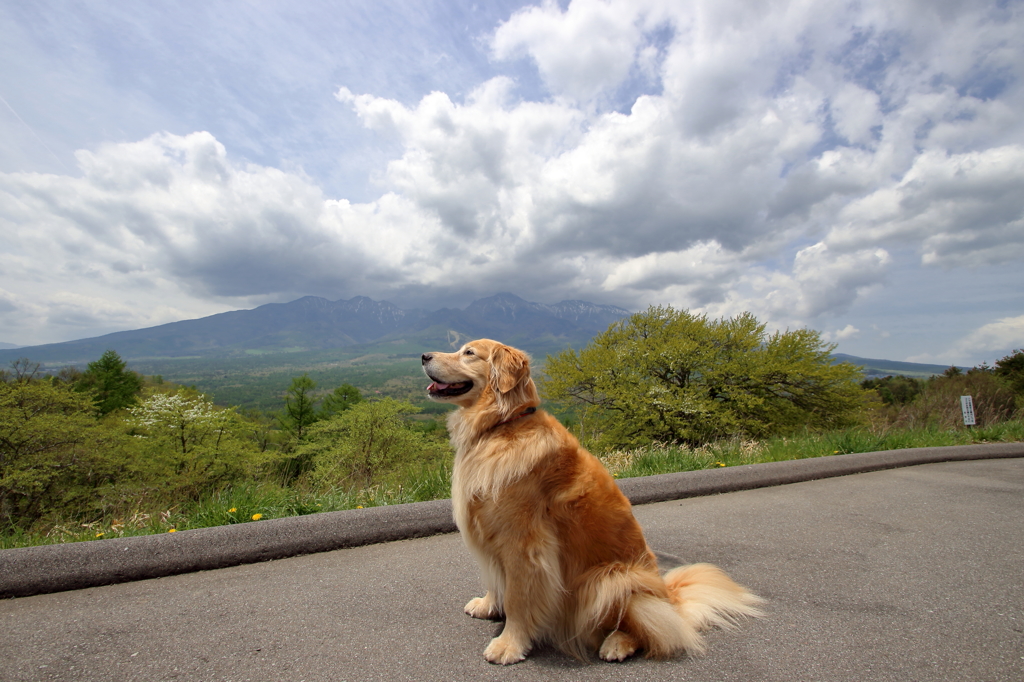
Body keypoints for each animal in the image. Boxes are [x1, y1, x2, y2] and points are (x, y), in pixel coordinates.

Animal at [417, 337, 761, 659]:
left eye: (469, 353)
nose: (423, 355)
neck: (500, 426)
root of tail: (670, 598)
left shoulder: (523, 542)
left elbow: (517, 596)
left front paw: (509, 643)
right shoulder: (490, 532)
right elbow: (494, 578)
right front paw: (489, 605)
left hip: (609, 580)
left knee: (652, 629)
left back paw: (618, 644)